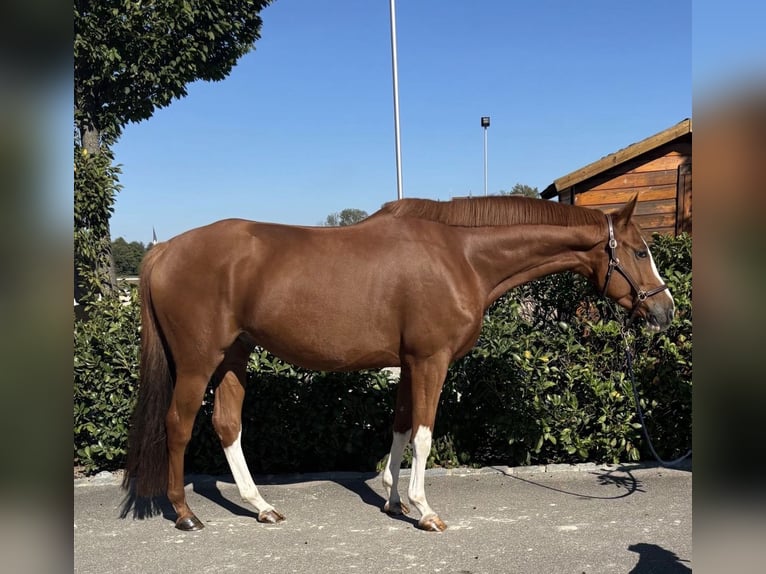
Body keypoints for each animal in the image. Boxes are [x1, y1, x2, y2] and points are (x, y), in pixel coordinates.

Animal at [122, 194, 674, 532]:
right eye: (640, 251)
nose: (665, 311)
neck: (462, 257)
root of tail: (164, 250)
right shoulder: (431, 360)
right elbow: (425, 434)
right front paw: (424, 510)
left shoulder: (409, 362)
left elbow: (402, 426)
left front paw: (392, 499)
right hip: (199, 362)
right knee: (178, 425)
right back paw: (185, 513)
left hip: (235, 356)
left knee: (227, 424)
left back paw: (261, 507)